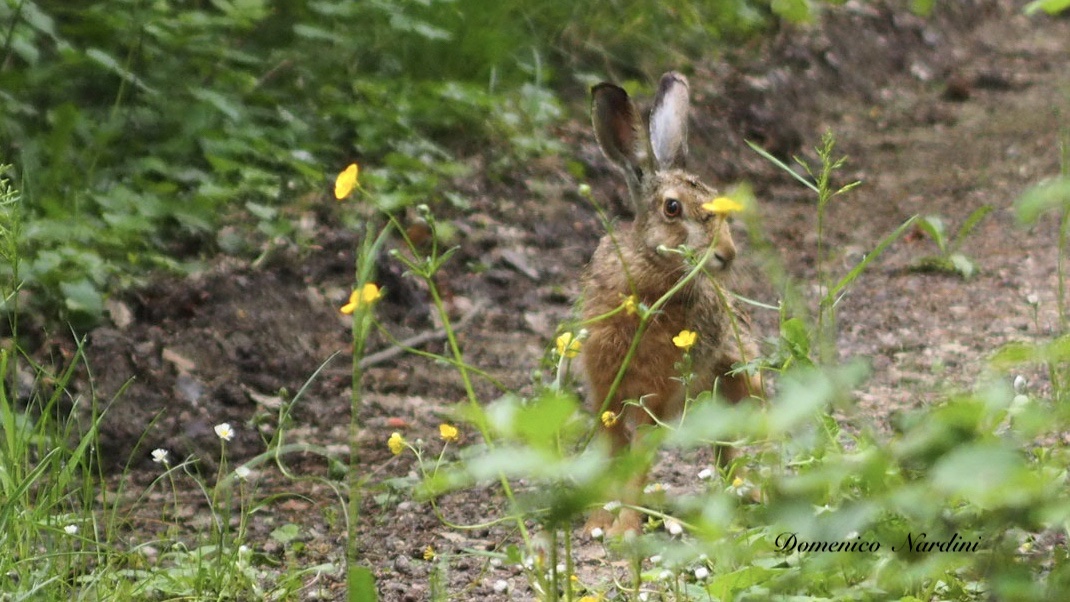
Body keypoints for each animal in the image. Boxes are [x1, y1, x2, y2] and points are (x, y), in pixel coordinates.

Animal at [580, 71, 762, 536]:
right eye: (673, 208)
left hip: (742, 382)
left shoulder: (656, 399)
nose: (728, 254)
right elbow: (610, 455)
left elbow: (639, 463)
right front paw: (595, 524)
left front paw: (623, 530)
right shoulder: (605, 393)